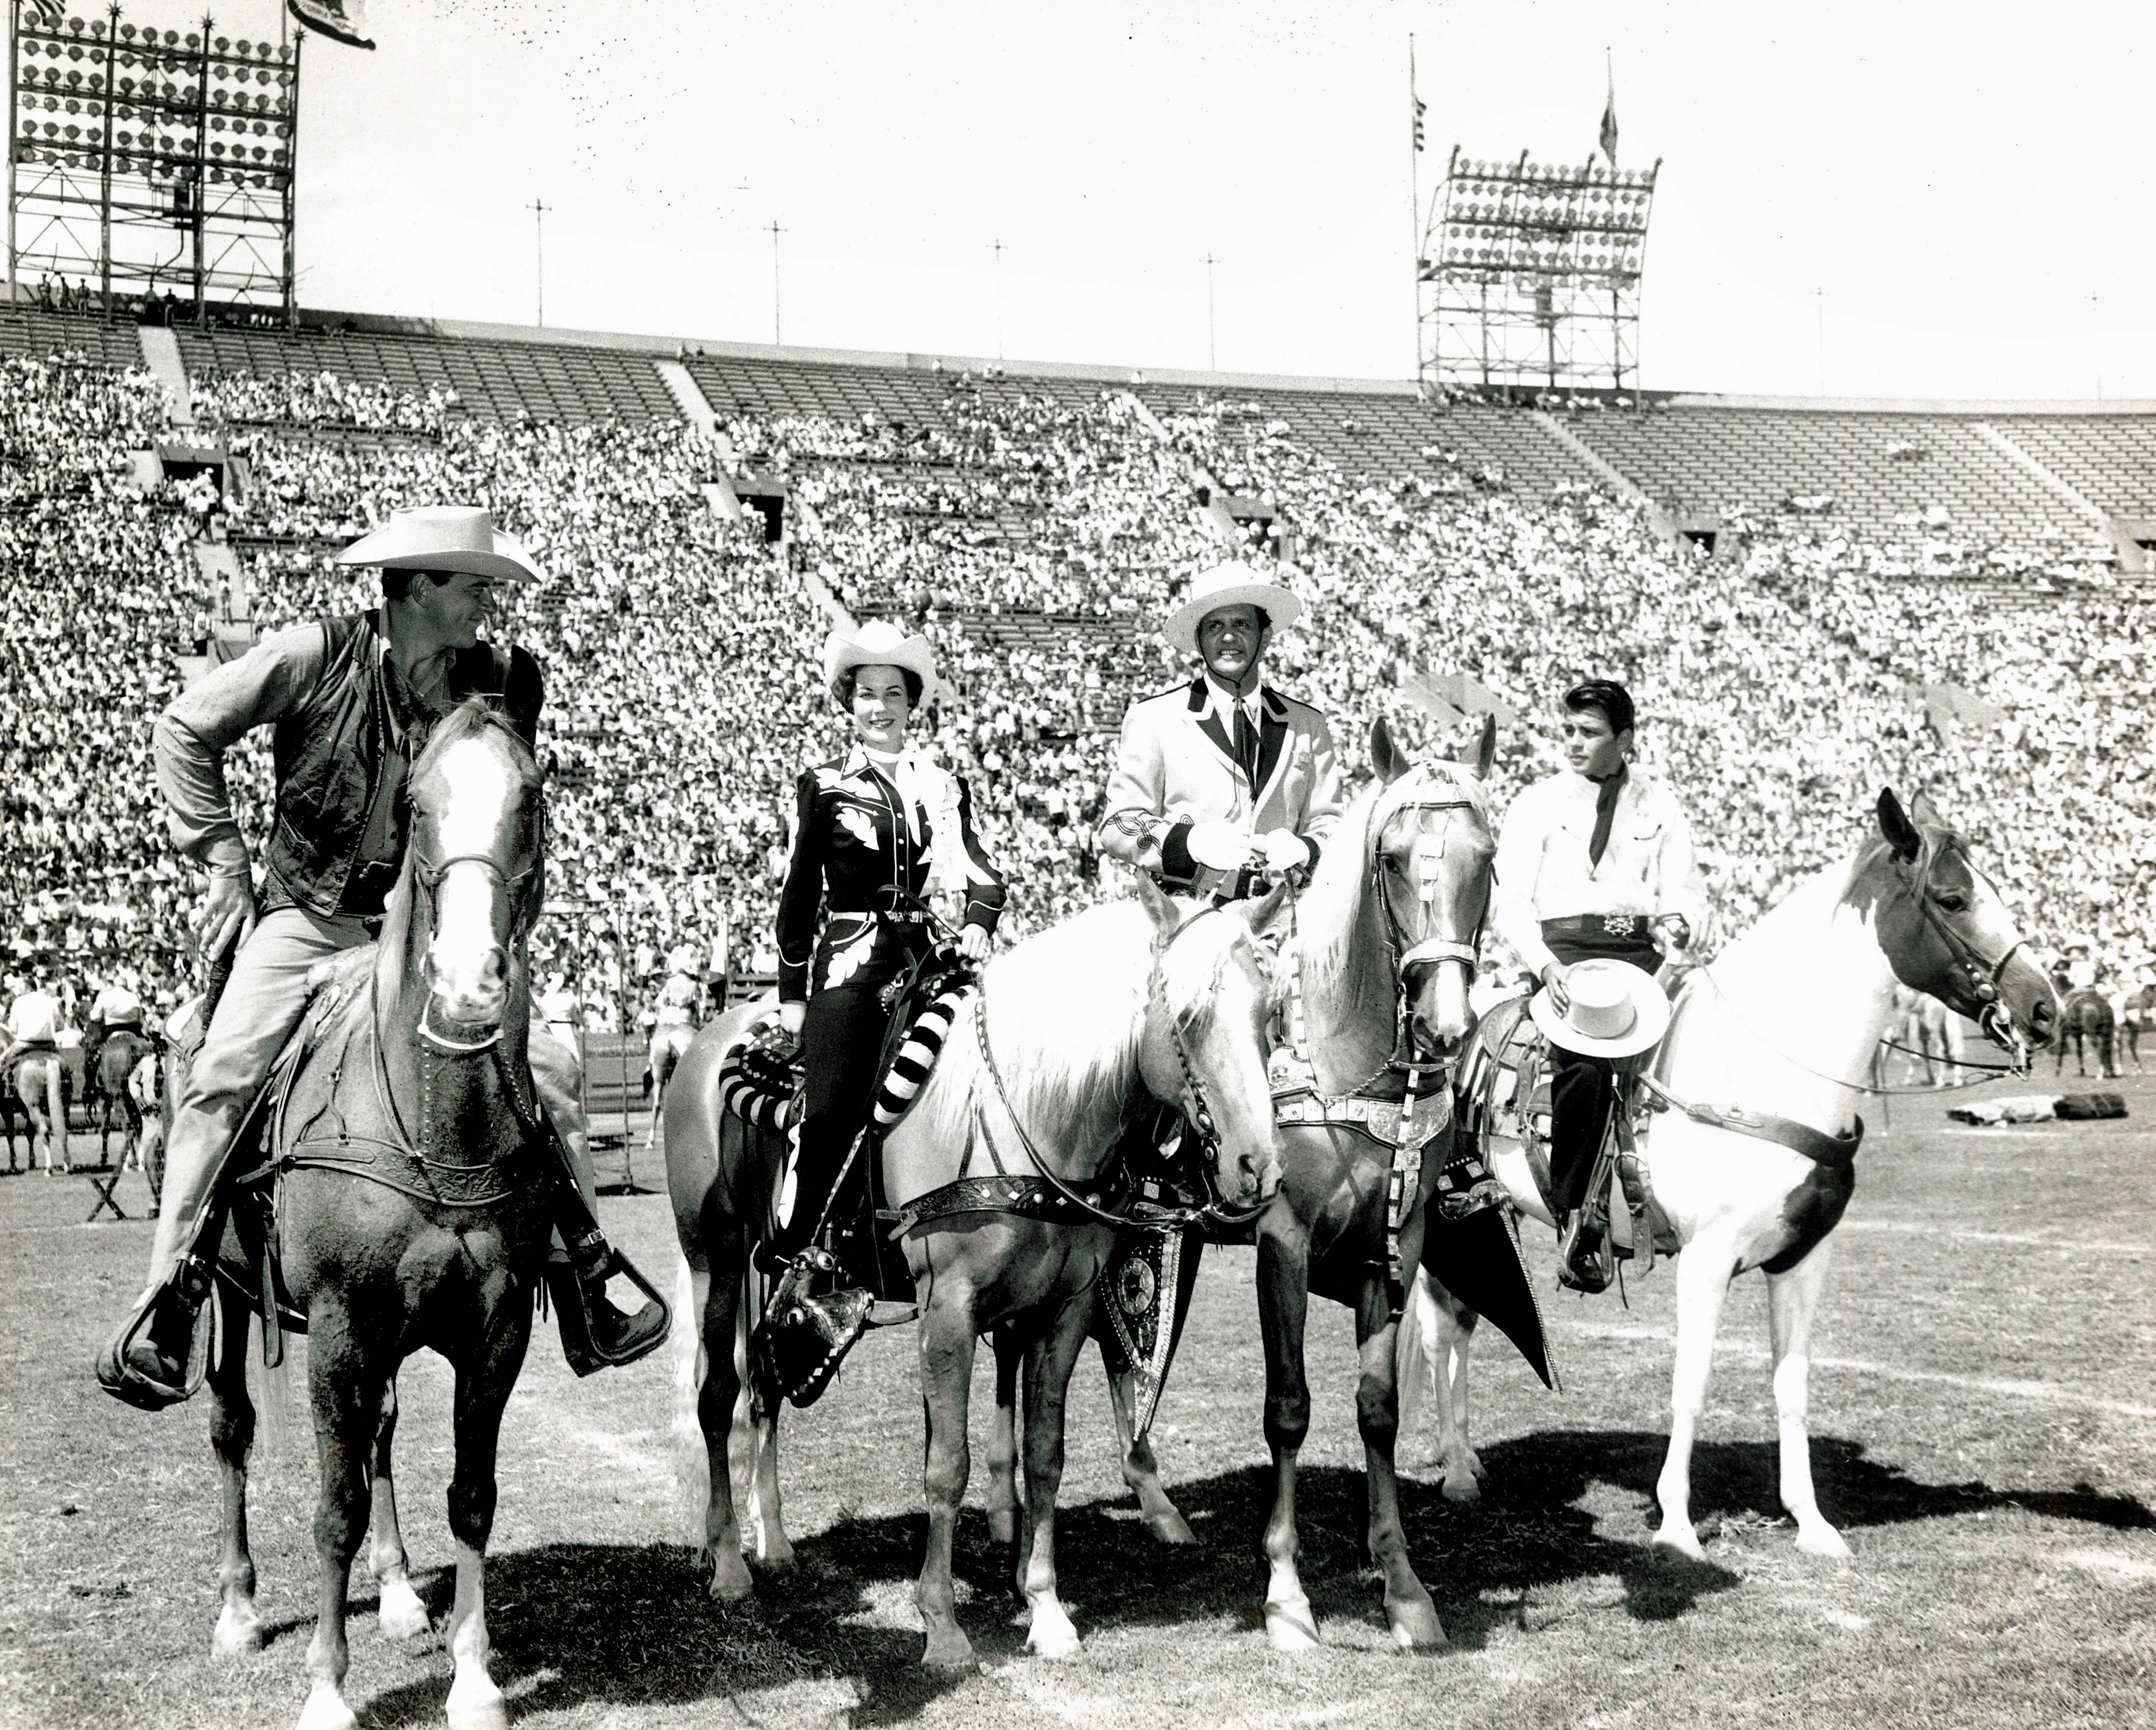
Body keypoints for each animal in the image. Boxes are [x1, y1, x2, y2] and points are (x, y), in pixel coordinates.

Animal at [664, 871, 1285, 1665]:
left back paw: (771, 1541)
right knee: (718, 1396)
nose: (1257, 1167)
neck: (1024, 1111)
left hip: (767, 1275)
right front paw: (943, 1627)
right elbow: (946, 1465)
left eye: (1270, 1010)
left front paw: (1046, 1609)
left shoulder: (1062, 1311)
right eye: (1187, 1014)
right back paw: (728, 1563)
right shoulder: (950, 1313)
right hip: (713, 1261)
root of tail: (714, 1035)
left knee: (766, 1389)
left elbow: (1043, 1454)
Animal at [1397, 789, 2052, 1553]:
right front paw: (1677, 1526)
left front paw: (1810, 1523)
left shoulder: (1802, 1258)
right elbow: (1691, 1385)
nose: (2044, 1008)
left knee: (1461, 1327)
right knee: (1443, 1331)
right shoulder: (1704, 1262)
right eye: (1951, 900)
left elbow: (1790, 1386)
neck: (1761, 1073)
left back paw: (1465, 1457)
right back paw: (1455, 1472)